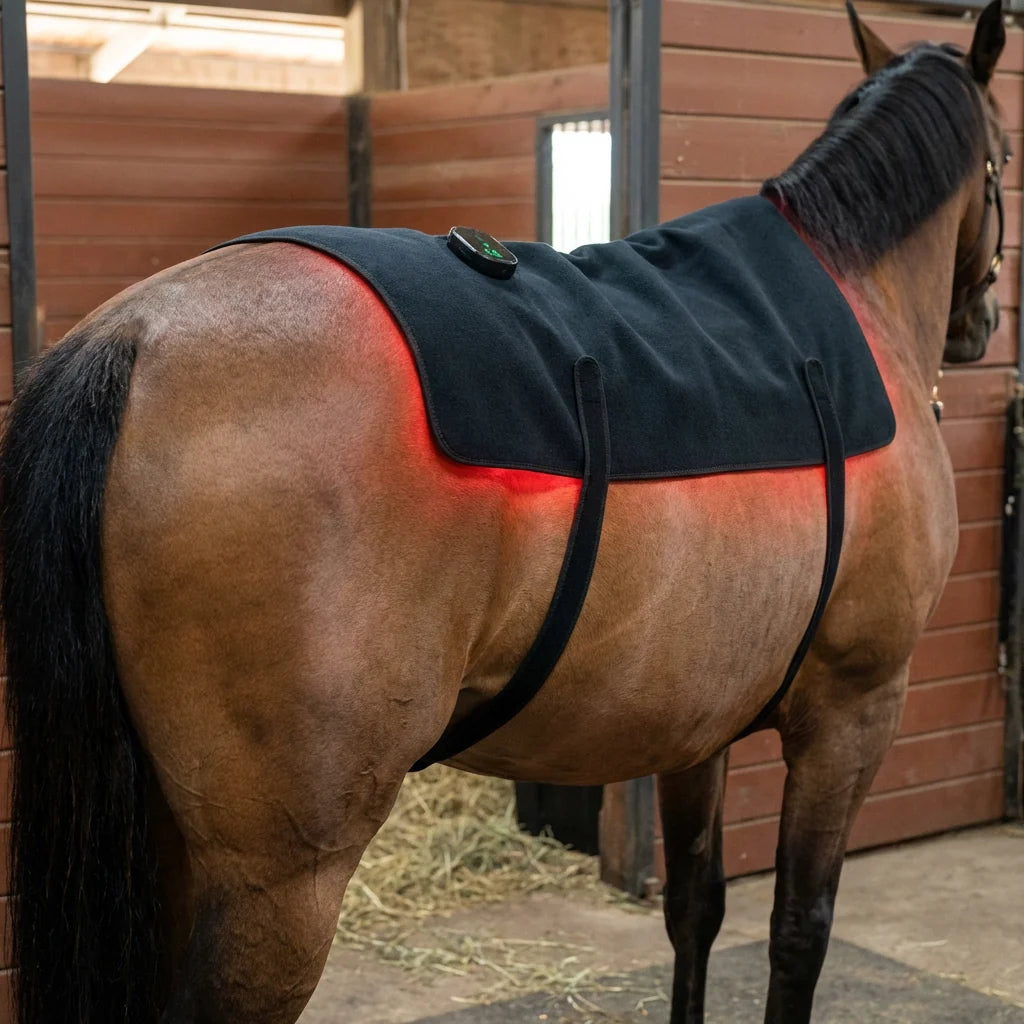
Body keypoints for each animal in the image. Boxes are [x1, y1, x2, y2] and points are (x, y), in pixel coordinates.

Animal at [0, 3, 1009, 1022]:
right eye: (1005, 152)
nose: (978, 328)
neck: (855, 300)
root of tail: (133, 339)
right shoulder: (852, 711)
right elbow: (800, 931)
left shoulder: (702, 724)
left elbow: (695, 907)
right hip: (276, 879)